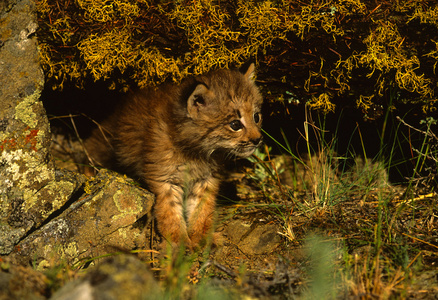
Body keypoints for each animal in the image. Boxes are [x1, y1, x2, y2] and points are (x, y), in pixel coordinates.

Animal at [85, 63, 264, 248]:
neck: (196, 153)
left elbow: (202, 210)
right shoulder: (164, 179)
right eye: (235, 124)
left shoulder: (206, 179)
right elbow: (169, 213)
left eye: (256, 117)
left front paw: (202, 237)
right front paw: (180, 243)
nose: (258, 139)